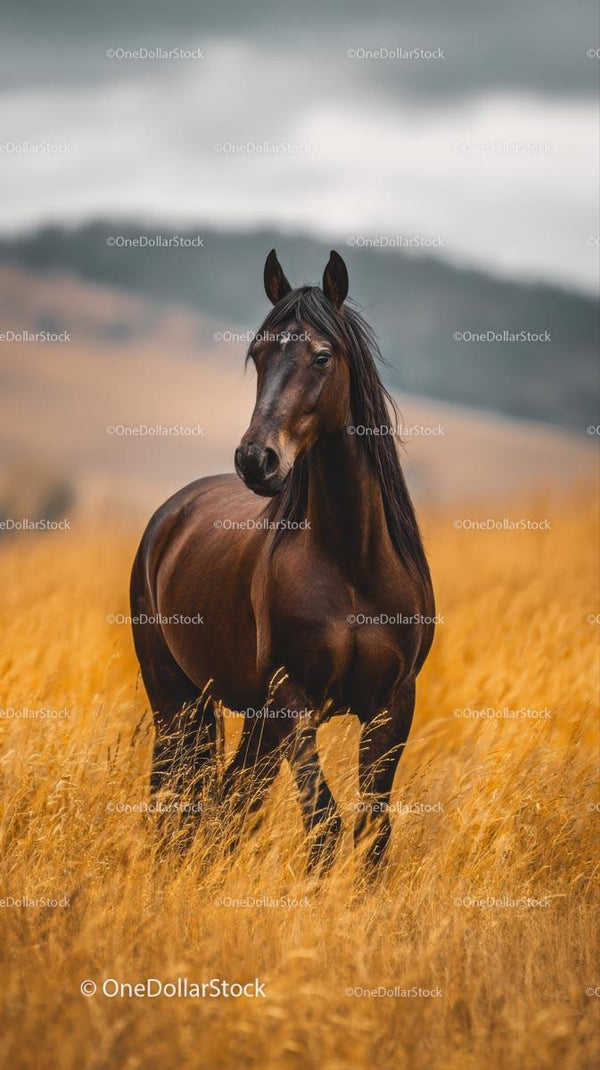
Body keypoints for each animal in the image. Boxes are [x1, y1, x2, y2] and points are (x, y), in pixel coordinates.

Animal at [130, 249, 435, 872]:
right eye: (258, 353)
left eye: (322, 356)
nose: (256, 460)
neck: (353, 563)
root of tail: (171, 516)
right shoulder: (295, 700)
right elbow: (324, 823)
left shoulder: (393, 705)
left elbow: (373, 831)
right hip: (176, 701)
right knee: (178, 797)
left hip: (253, 718)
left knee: (228, 802)